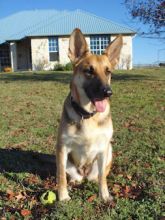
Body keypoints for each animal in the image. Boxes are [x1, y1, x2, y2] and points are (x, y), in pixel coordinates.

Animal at [56, 28, 122, 202]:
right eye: (89, 71)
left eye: (108, 72)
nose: (108, 93)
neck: (87, 115)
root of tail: (84, 173)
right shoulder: (62, 148)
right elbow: (61, 176)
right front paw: (63, 196)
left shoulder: (103, 149)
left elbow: (102, 178)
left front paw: (104, 195)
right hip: (67, 162)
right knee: (72, 177)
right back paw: (73, 183)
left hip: (109, 151)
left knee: (97, 176)